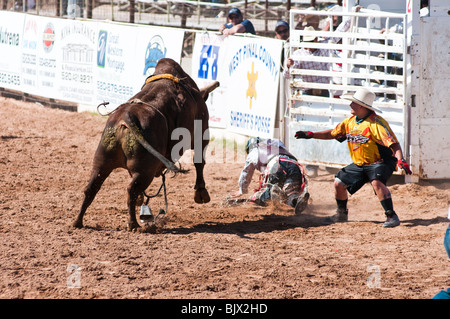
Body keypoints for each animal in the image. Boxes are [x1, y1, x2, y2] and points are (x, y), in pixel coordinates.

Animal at [73, 57, 218, 231]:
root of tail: (125, 119)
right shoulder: (201, 133)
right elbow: (199, 162)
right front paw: (201, 193)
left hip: (103, 160)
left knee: (92, 188)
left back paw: (78, 221)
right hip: (144, 170)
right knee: (131, 190)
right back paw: (133, 223)